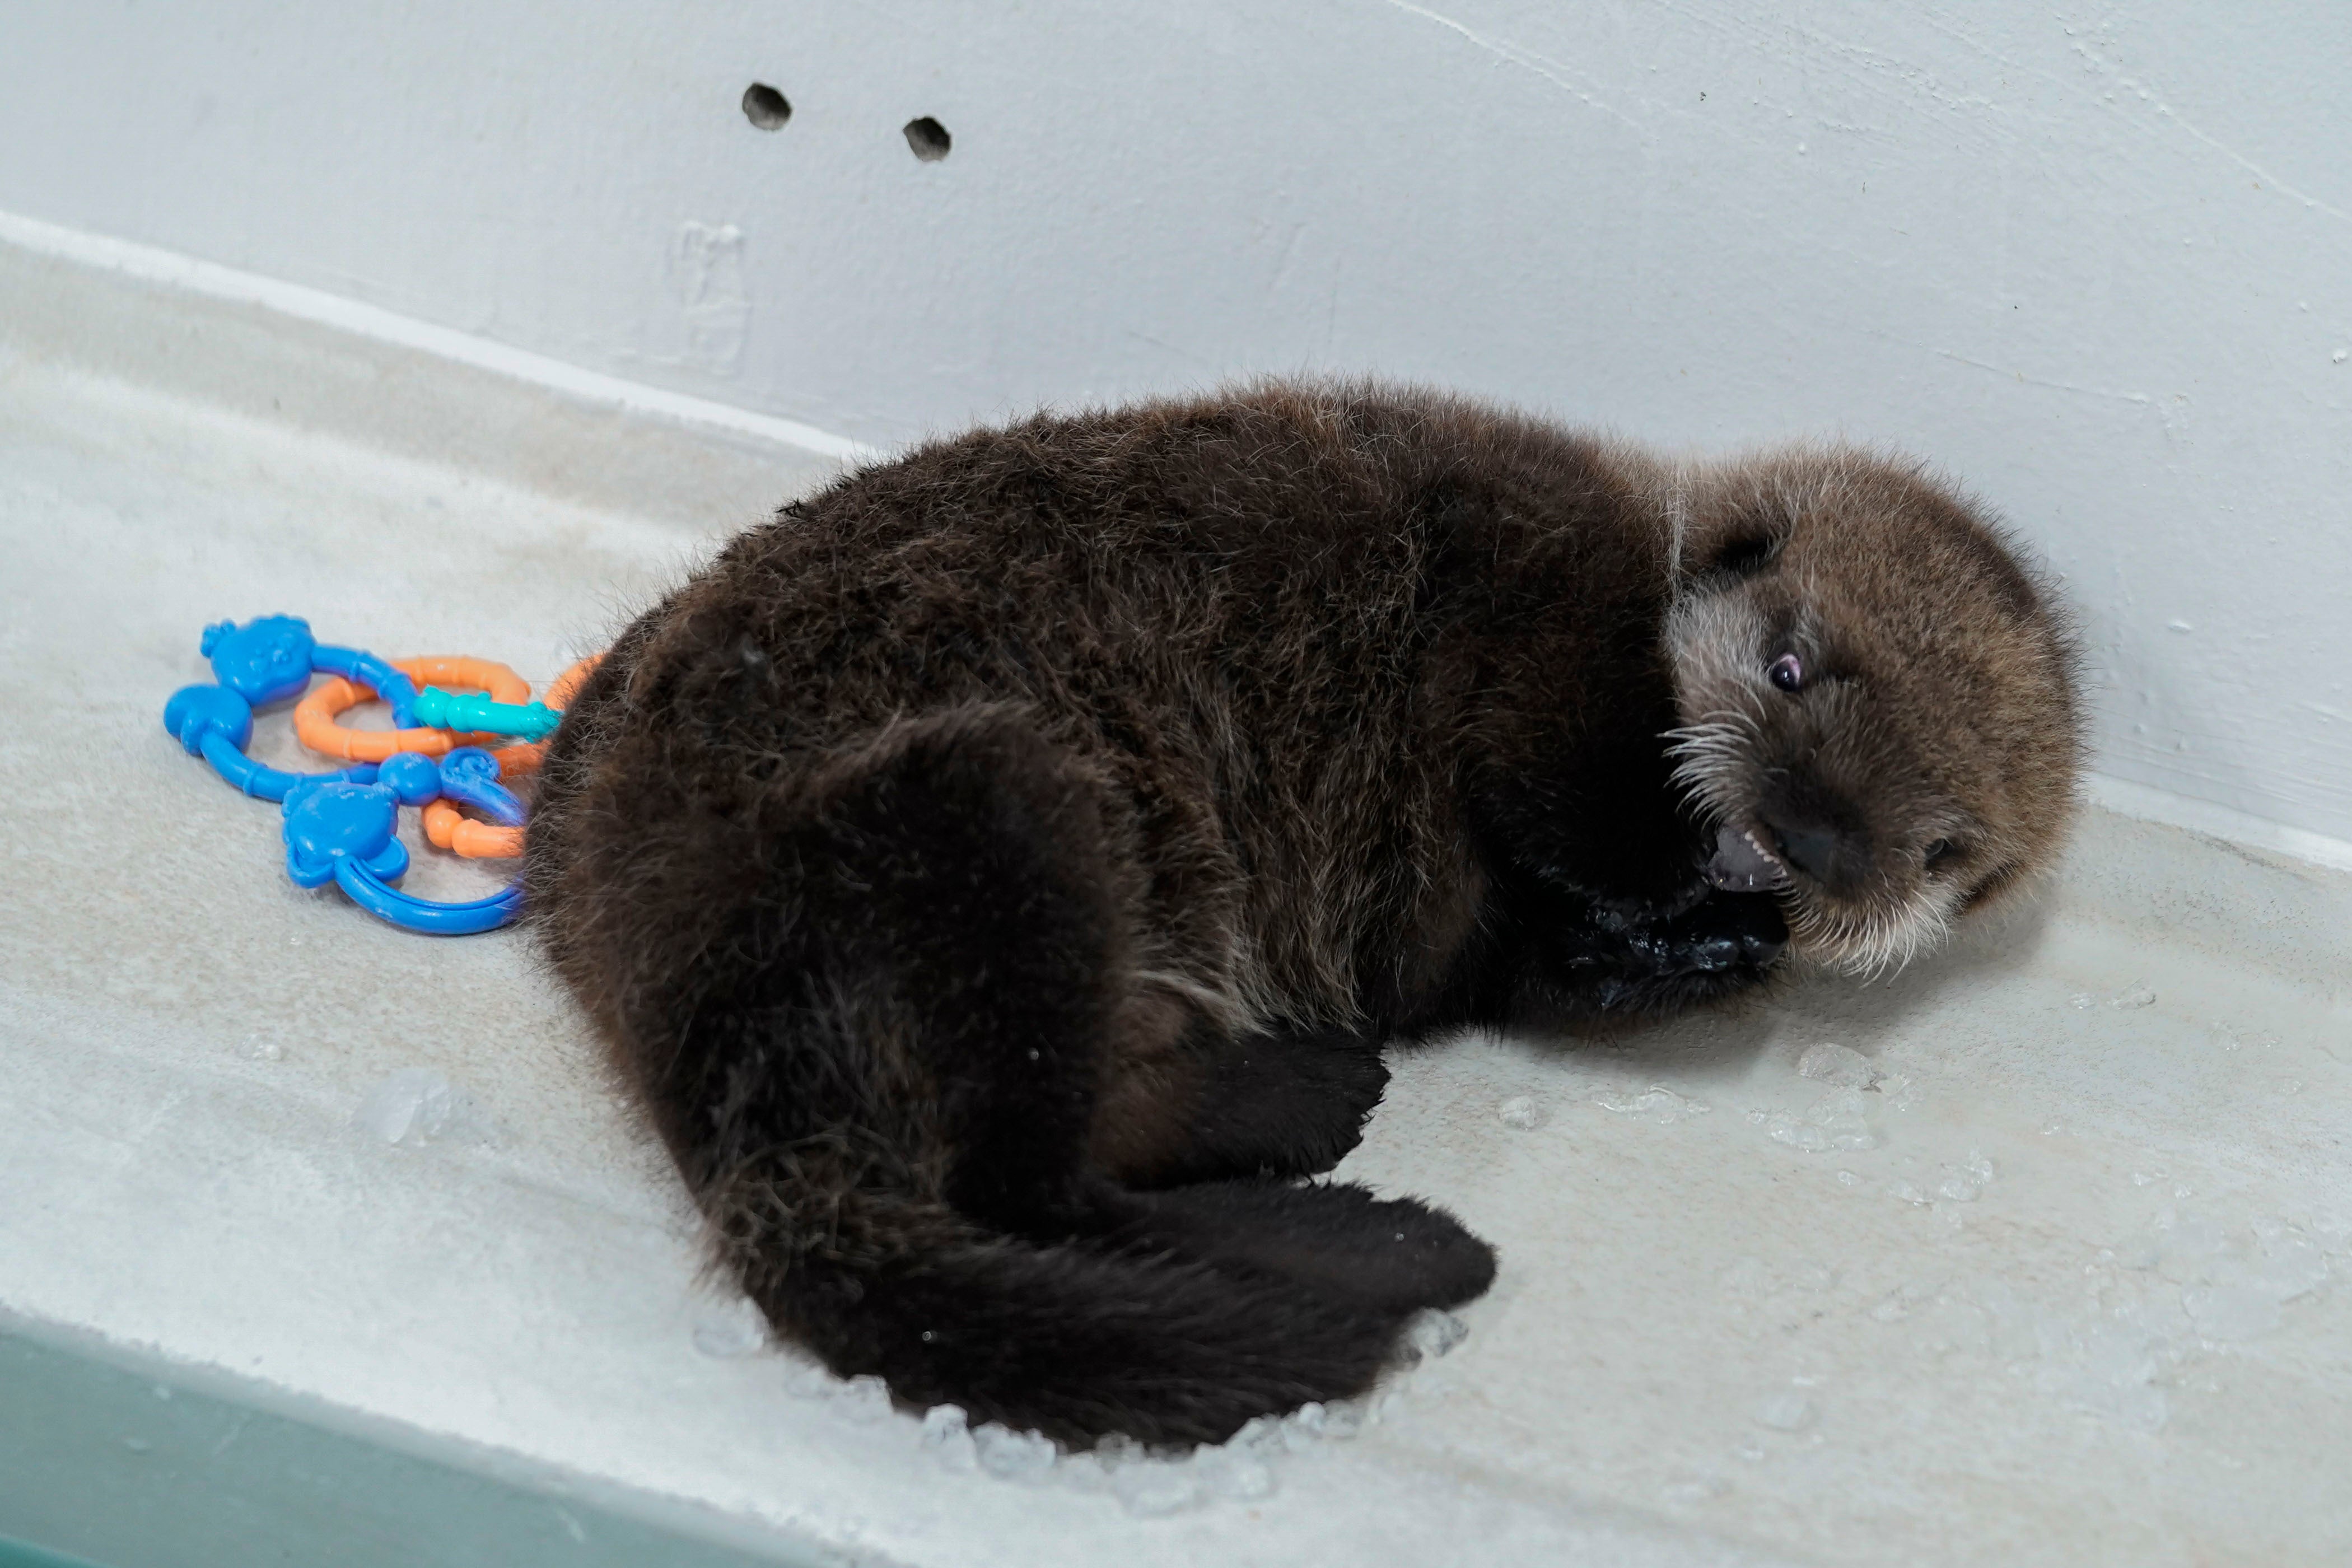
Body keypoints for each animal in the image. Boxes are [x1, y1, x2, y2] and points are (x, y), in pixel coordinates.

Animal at [524, 381, 2080, 1447]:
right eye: (1793, 664)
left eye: (1940, 851)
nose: (1811, 843)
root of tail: (683, 1001)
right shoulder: (1550, 576)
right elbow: (1560, 755)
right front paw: (1674, 893)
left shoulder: (1493, 933)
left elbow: (1522, 960)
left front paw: (1705, 939)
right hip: (985, 809)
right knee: (1035, 1176)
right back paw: (1372, 1195)